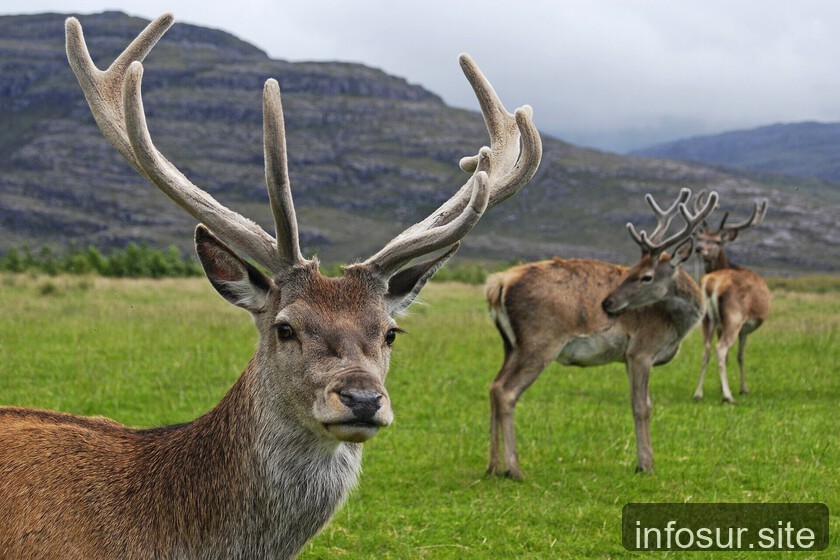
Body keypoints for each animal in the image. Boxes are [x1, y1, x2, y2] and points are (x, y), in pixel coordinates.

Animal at [484, 188, 717, 478]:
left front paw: (644, 461)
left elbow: (641, 402)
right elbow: (642, 406)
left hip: (510, 344)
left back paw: (492, 466)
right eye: (631, 270)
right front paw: (645, 464)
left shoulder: (628, 358)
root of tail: (498, 284)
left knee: (494, 386)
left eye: (646, 276)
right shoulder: (641, 350)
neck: (674, 325)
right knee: (507, 391)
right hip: (540, 341)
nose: (607, 303)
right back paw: (514, 469)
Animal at [692, 194, 771, 403]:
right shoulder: (745, 327)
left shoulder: (720, 324)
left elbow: (731, 357)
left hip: (707, 318)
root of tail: (711, 283)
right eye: (700, 238)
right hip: (734, 316)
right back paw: (728, 396)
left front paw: (721, 387)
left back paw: (698, 393)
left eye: (718, 241)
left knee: (706, 349)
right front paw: (743, 388)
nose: (699, 248)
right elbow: (740, 355)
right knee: (720, 349)